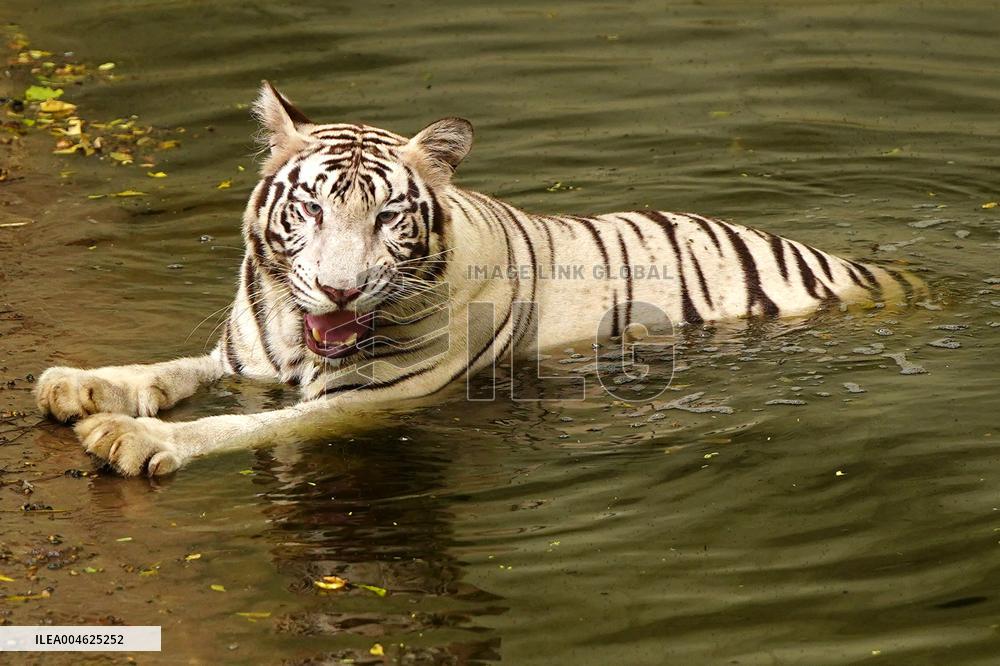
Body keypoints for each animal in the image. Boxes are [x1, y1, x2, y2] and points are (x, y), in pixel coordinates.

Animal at [35, 81, 912, 477]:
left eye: (389, 218)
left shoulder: (370, 398)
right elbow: (169, 369)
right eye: (310, 209)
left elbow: (241, 426)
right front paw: (78, 385)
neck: (297, 334)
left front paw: (132, 438)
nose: (340, 291)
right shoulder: (244, 357)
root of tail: (860, 266)